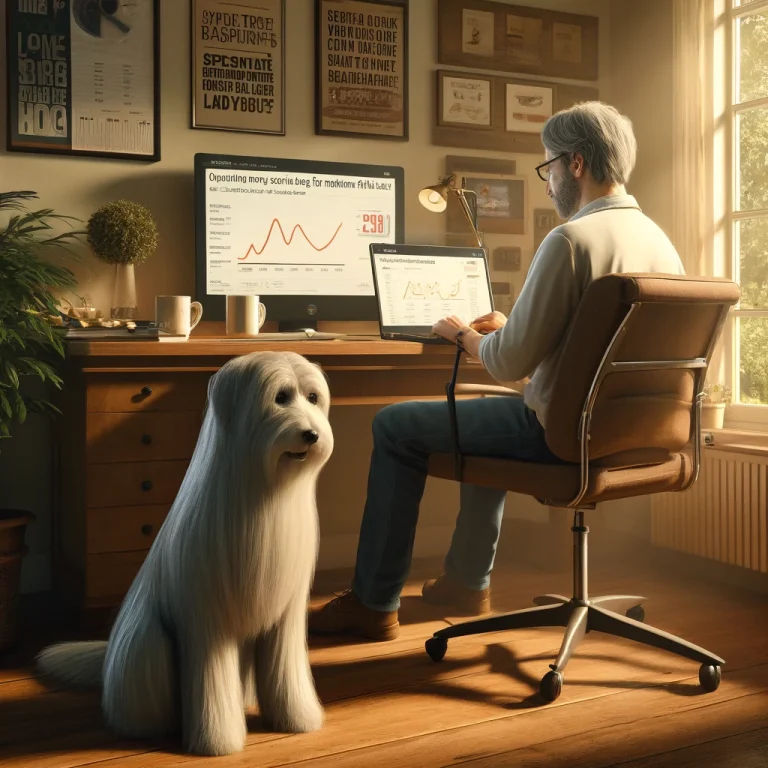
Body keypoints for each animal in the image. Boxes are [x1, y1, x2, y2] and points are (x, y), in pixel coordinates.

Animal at [36, 350, 332, 756]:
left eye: (313, 398)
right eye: (281, 398)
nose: (312, 434)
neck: (269, 492)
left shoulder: (285, 615)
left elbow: (285, 669)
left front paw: (297, 720)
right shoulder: (208, 619)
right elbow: (211, 681)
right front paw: (218, 742)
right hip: (147, 642)